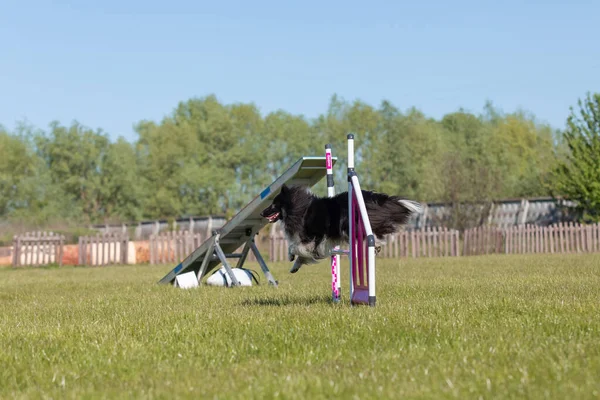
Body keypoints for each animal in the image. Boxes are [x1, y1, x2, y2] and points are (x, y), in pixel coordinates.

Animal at [258, 184, 422, 272]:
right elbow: (301, 254)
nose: (261, 213)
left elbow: (294, 246)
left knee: (373, 235)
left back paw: (375, 245)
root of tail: (376, 198)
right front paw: (294, 266)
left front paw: (291, 255)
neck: (298, 208)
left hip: (349, 225)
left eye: (273, 205)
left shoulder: (311, 238)